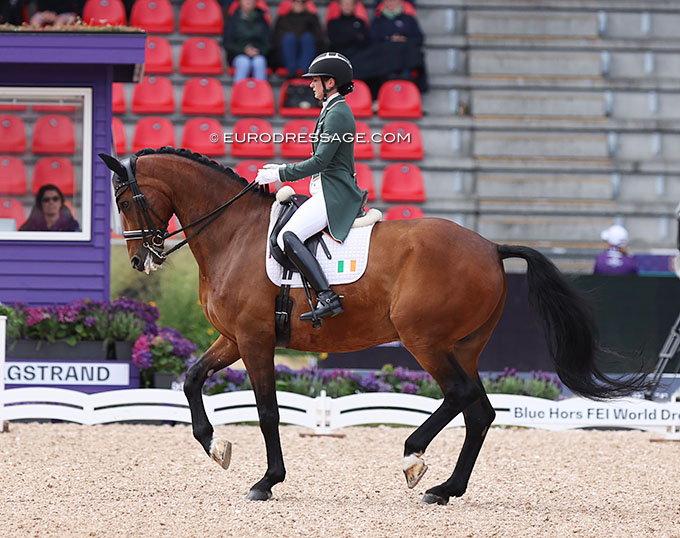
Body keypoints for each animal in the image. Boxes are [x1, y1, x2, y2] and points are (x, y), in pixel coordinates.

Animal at [101, 147, 648, 502]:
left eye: (126, 201)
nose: (139, 260)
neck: (233, 233)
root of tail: (491, 247)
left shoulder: (255, 341)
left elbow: (268, 412)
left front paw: (266, 481)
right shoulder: (233, 338)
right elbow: (191, 379)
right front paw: (217, 447)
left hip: (423, 340)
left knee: (459, 396)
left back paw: (413, 458)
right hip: (463, 345)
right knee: (480, 411)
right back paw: (445, 489)